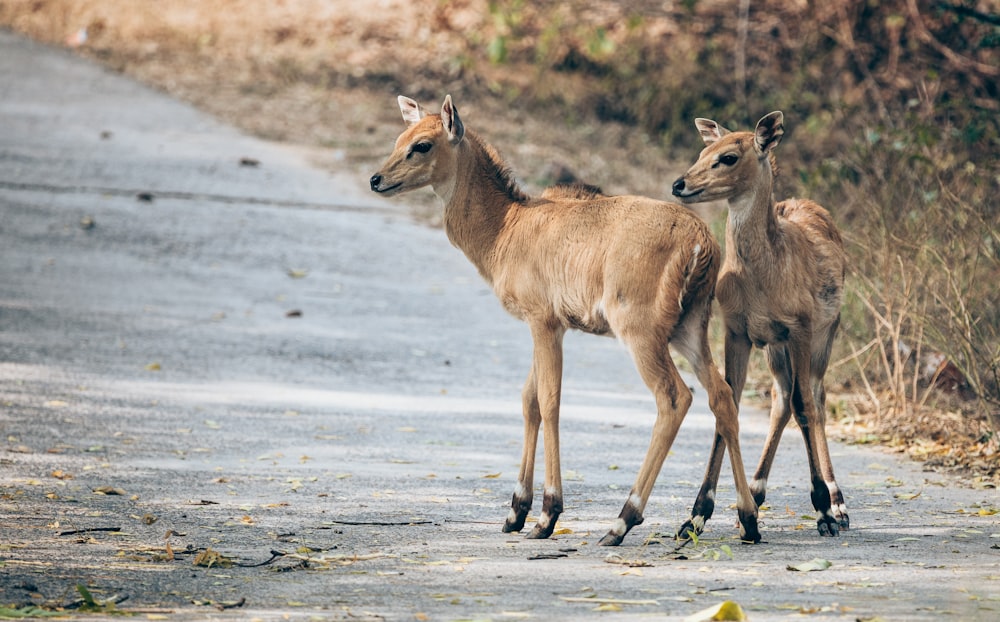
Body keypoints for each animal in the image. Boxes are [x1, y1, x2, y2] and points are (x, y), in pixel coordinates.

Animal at [372, 95, 760, 548]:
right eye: (400, 138)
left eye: (423, 145)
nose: (377, 179)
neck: (504, 229)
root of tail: (701, 243)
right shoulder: (548, 324)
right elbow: (529, 400)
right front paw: (515, 511)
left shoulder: (543, 319)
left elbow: (550, 401)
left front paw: (546, 514)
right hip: (690, 327)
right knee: (723, 395)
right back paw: (743, 519)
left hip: (641, 329)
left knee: (674, 397)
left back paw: (622, 520)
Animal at [672, 113, 852, 540]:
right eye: (702, 151)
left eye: (729, 157)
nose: (679, 184)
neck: (763, 280)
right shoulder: (736, 330)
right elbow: (729, 404)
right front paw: (695, 517)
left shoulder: (801, 326)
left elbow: (805, 407)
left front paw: (822, 510)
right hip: (774, 345)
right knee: (782, 397)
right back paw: (755, 492)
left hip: (826, 331)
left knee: (814, 397)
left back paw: (837, 505)